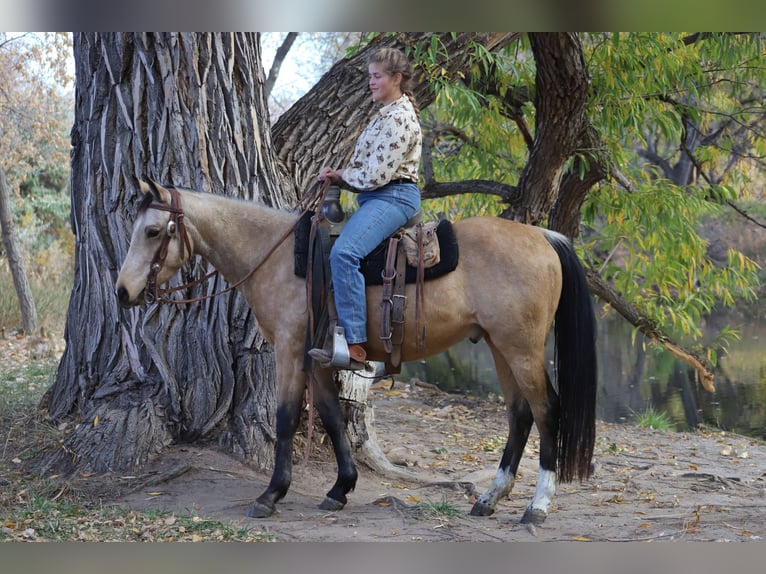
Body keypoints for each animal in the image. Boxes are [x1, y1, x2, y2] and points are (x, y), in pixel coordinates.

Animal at [115, 180, 600, 528]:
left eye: (154, 231)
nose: (123, 292)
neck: (279, 257)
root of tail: (542, 235)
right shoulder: (317, 357)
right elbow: (331, 417)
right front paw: (340, 489)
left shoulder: (290, 350)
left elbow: (287, 418)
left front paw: (271, 495)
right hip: (501, 346)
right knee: (520, 415)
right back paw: (489, 498)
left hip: (522, 347)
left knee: (547, 410)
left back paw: (537, 506)